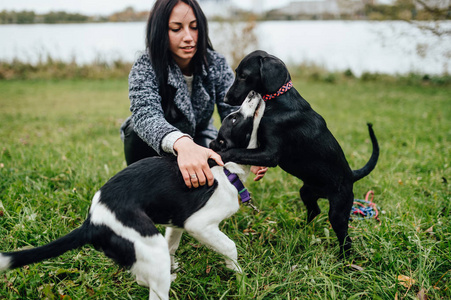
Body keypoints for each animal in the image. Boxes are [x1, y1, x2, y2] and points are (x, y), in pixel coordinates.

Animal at [0, 91, 266, 300]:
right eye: (234, 117)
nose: (253, 92)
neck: (226, 169)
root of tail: (92, 222)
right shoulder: (198, 224)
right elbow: (230, 247)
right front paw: (238, 274)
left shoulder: (177, 222)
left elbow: (172, 245)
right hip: (149, 244)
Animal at [211, 49, 378, 255]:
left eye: (243, 75)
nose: (226, 99)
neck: (277, 102)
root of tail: (351, 175)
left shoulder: (270, 154)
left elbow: (236, 151)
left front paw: (217, 156)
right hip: (306, 191)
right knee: (315, 210)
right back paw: (302, 229)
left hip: (338, 211)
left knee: (345, 238)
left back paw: (344, 258)